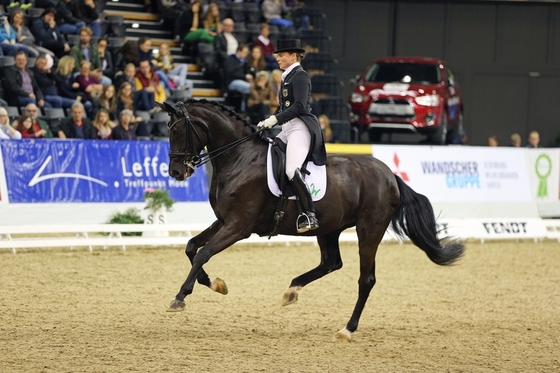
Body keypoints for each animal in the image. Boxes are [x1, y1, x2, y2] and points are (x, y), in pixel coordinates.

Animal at [154, 98, 464, 340]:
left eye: (178, 130)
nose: (176, 173)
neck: (239, 158)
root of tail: (390, 175)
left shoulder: (239, 226)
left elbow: (203, 252)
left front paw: (180, 297)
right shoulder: (223, 221)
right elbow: (192, 248)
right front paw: (216, 285)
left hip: (369, 230)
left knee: (366, 279)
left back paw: (347, 329)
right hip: (329, 228)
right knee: (332, 262)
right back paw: (292, 290)